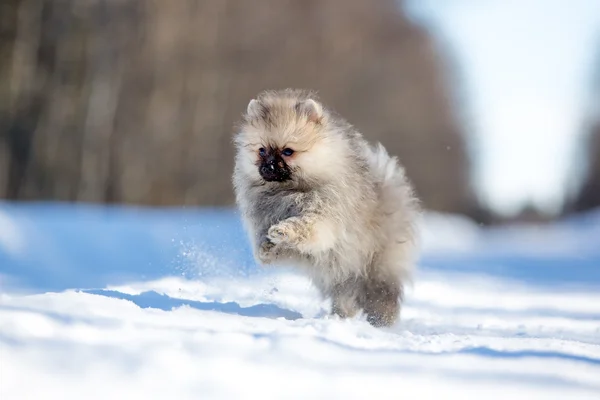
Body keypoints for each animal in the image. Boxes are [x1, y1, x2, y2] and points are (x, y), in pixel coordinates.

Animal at [232, 89, 420, 326]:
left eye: (288, 151)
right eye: (262, 151)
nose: (269, 167)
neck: (289, 191)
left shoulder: (324, 218)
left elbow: (304, 226)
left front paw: (283, 230)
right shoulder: (265, 221)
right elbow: (269, 243)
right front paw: (266, 249)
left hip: (377, 266)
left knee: (383, 294)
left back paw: (380, 321)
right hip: (341, 279)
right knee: (345, 299)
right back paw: (340, 318)